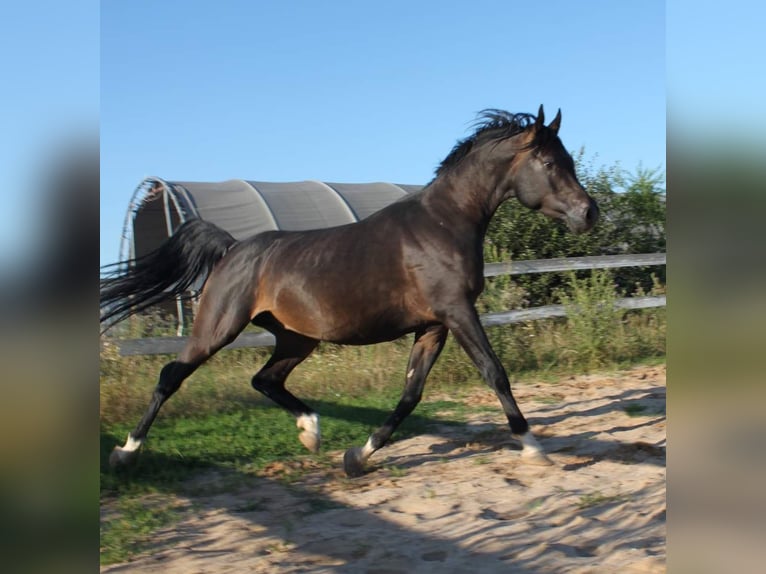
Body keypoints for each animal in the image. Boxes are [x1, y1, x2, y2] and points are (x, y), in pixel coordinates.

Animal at [101, 106, 599, 477]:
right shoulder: (457, 312)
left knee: (265, 380)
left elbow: (411, 394)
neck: (443, 223)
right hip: (219, 326)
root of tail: (233, 247)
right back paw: (125, 452)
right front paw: (533, 446)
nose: (588, 213)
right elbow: (495, 373)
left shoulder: (433, 326)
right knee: (171, 375)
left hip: (297, 338)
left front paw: (358, 456)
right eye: (550, 163)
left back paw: (311, 432)